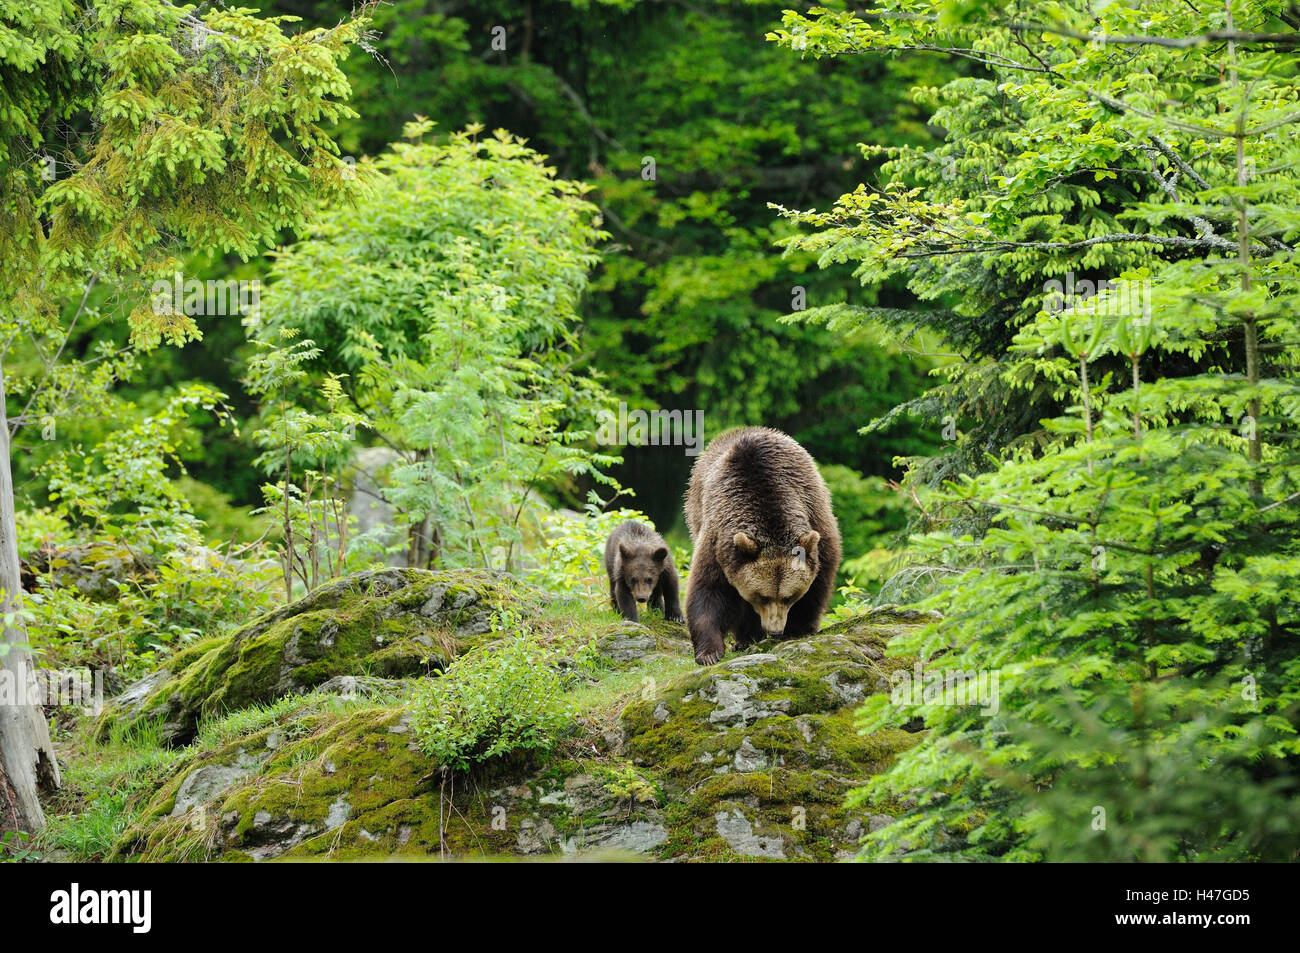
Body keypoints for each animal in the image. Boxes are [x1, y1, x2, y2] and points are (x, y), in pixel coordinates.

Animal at [681, 426, 842, 665]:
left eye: (788, 597)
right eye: (762, 597)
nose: (775, 630)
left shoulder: (816, 519)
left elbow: (816, 585)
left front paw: (798, 628)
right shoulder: (718, 539)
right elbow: (708, 589)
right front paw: (710, 652)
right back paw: (745, 638)